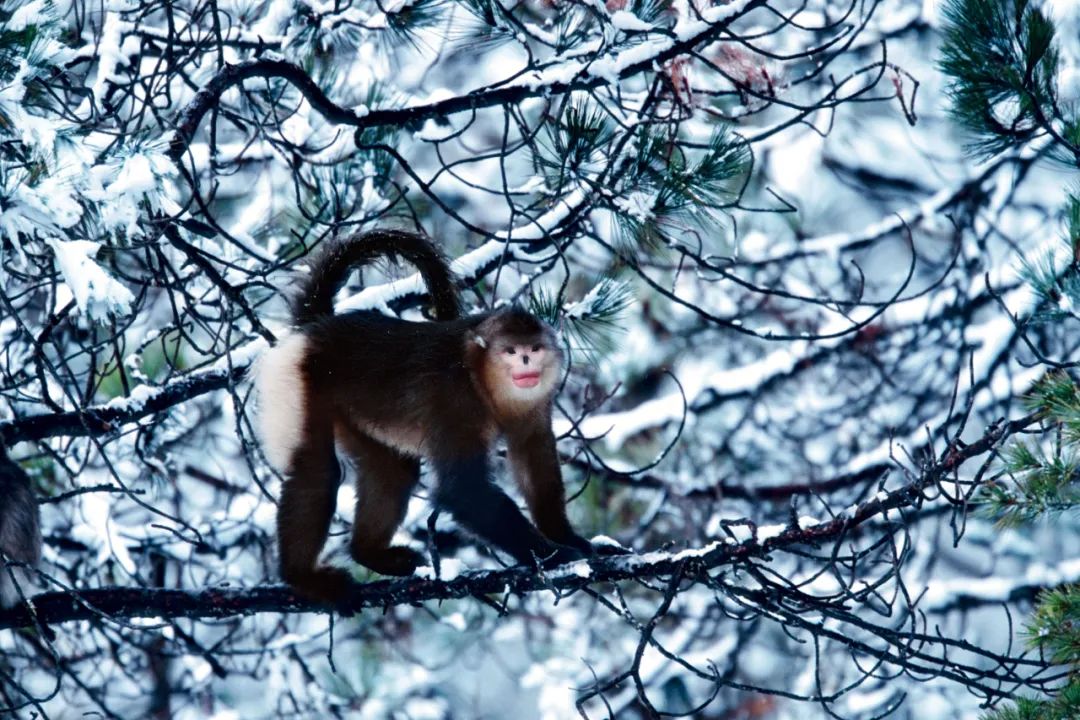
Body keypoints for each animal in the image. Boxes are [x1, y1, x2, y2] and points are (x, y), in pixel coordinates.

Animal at [257, 231, 596, 604]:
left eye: (534, 349)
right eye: (510, 351)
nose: (525, 360)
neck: (481, 376)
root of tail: (314, 328)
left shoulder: (535, 402)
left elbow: (534, 460)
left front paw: (567, 538)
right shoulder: (455, 399)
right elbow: (463, 489)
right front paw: (554, 555)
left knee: (393, 471)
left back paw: (371, 554)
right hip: (296, 382)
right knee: (317, 471)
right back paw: (302, 577)